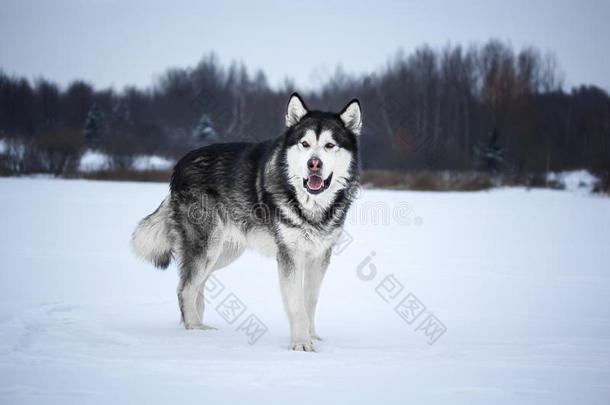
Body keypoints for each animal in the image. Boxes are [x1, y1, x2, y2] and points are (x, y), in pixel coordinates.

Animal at [132, 93, 360, 348]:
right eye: (305, 144)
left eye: (330, 145)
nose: (314, 163)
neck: (311, 206)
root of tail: (179, 165)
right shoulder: (290, 256)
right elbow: (297, 305)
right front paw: (300, 344)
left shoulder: (319, 256)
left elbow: (310, 300)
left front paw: (312, 337)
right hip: (207, 247)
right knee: (185, 288)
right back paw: (195, 332)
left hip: (223, 252)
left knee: (196, 284)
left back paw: (198, 325)